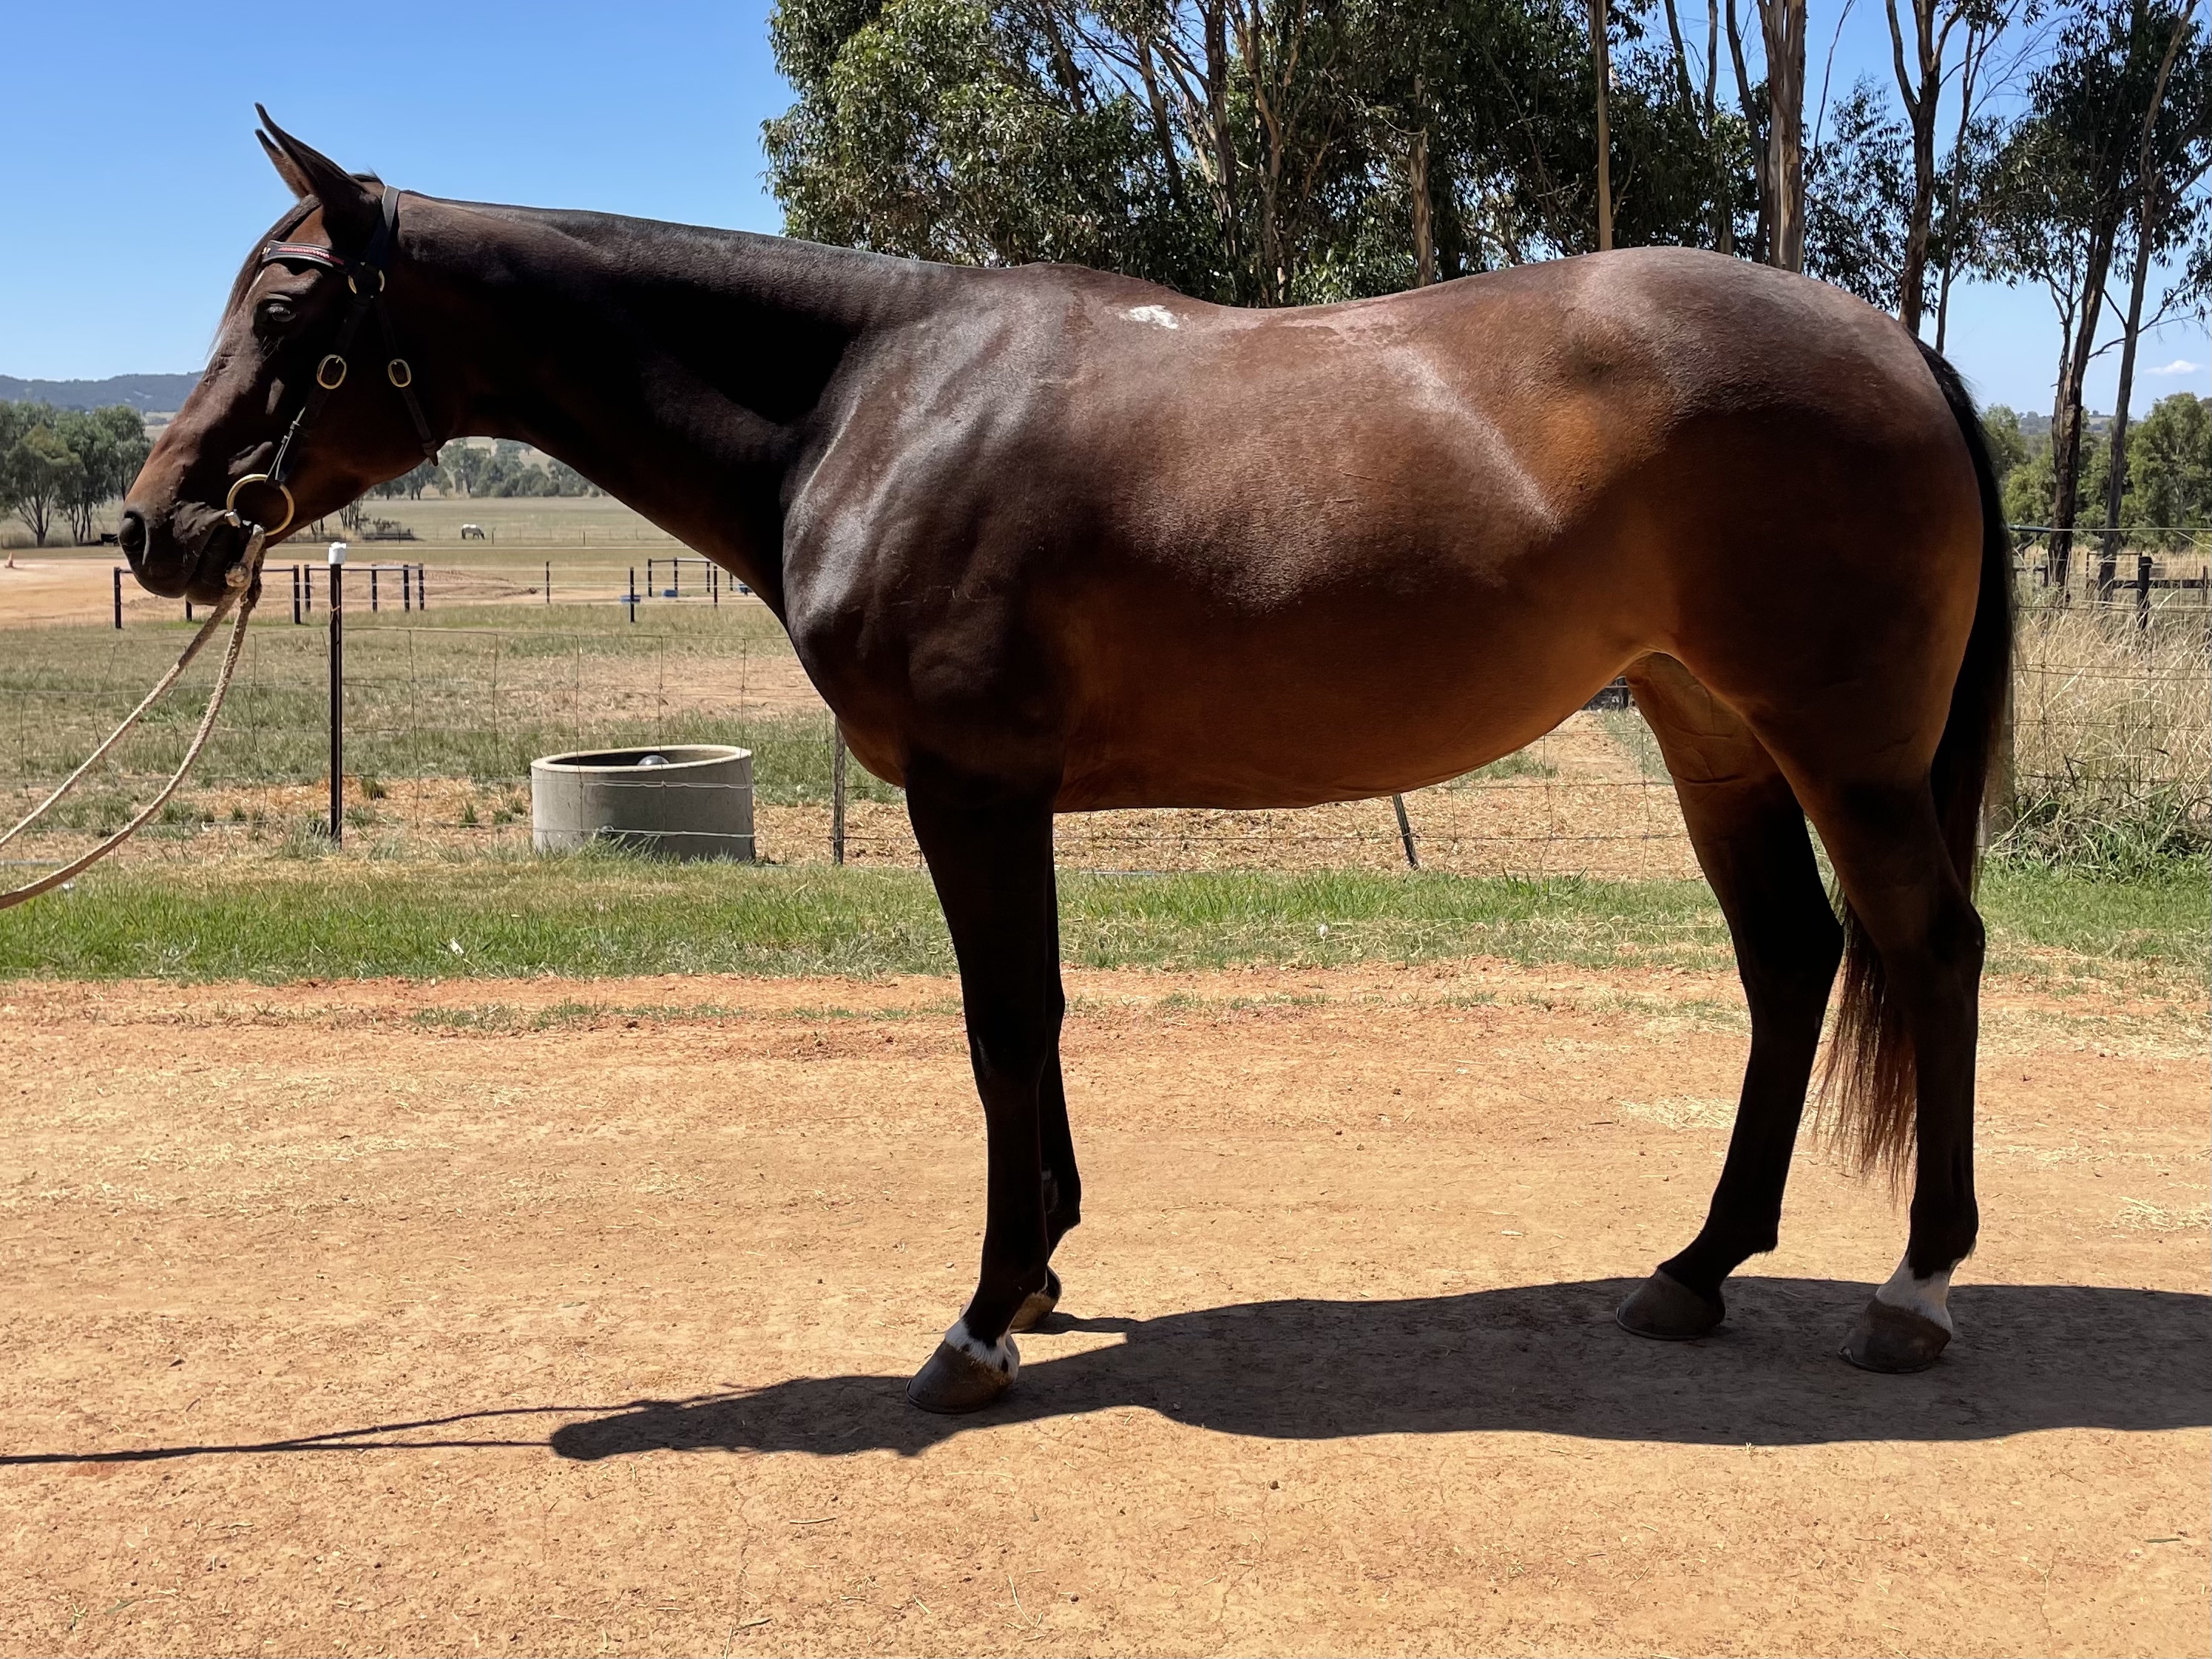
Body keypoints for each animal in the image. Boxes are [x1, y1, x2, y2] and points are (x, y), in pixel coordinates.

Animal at [121, 112, 2010, 1413]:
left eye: (288, 304)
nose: (156, 525)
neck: (872, 397)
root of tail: (1892, 340)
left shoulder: (969, 787)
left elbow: (1000, 1026)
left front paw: (978, 1317)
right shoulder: (1003, 793)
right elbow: (1030, 1021)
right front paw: (1034, 1269)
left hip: (1842, 745)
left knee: (1927, 949)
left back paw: (1913, 1289)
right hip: (1710, 732)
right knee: (1790, 961)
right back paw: (1694, 1267)